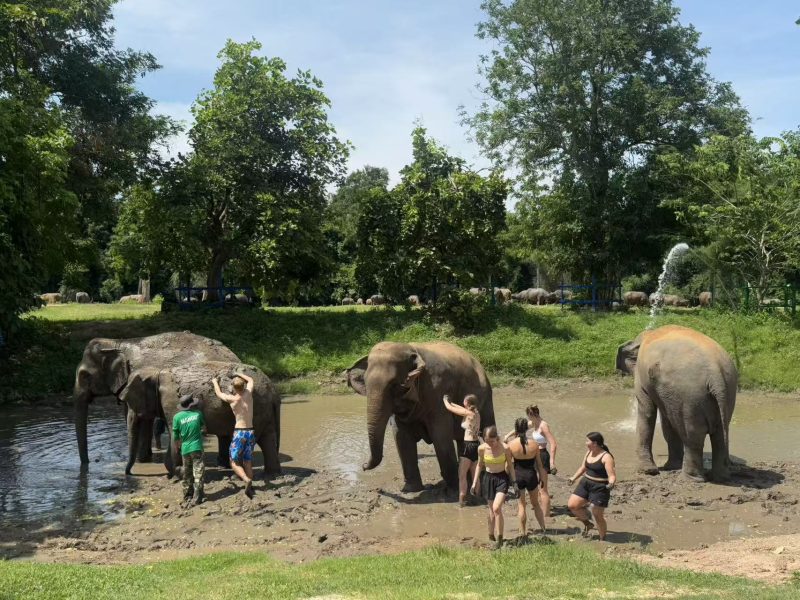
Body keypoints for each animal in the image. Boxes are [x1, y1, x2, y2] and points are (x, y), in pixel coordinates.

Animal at [74, 332, 240, 466]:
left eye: (84, 375)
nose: (88, 463)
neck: (116, 343)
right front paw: (147, 456)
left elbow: (140, 418)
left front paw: (141, 461)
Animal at [119, 362, 281, 478]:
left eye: (130, 402)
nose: (130, 474)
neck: (157, 372)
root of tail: (273, 390)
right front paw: (176, 472)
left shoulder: (170, 402)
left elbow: (174, 435)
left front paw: (177, 472)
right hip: (264, 411)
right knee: (267, 440)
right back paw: (271, 474)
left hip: (257, 411)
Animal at [346, 341, 495, 493]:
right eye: (365, 382)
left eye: (394, 385)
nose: (363, 466)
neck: (411, 348)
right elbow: (401, 438)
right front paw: (410, 490)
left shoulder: (437, 391)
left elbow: (440, 436)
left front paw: (452, 490)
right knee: (462, 439)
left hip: (487, 396)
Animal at [616, 325, 737, 482]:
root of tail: (715, 373)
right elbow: (667, 422)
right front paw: (670, 467)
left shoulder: (644, 379)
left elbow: (647, 411)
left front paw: (648, 471)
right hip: (727, 391)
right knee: (720, 433)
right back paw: (720, 477)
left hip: (690, 397)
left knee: (692, 436)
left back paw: (688, 479)